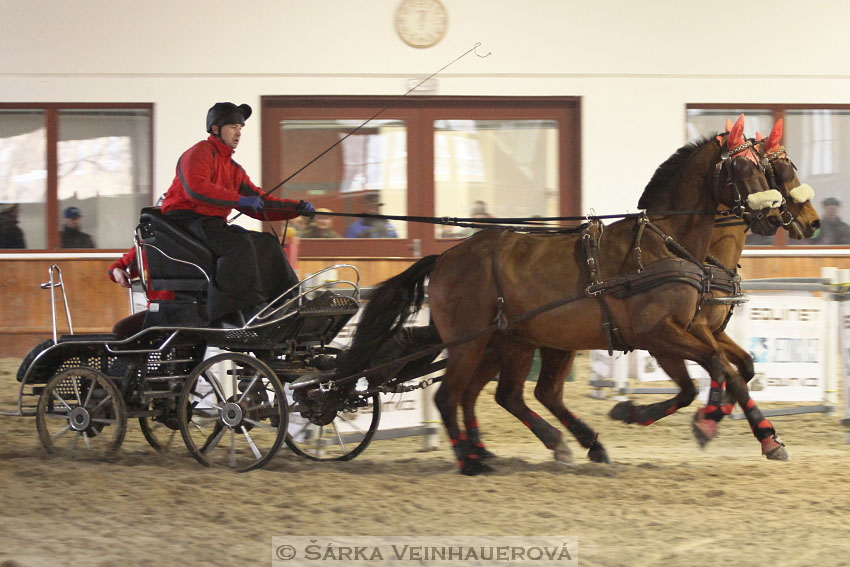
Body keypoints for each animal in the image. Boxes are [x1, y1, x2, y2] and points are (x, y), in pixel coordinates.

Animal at [344, 115, 776, 474]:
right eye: (743, 166)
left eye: (766, 167)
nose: (773, 214)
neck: (664, 243)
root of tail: (448, 255)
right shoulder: (659, 334)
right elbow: (715, 369)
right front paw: (706, 421)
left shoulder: (684, 332)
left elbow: (724, 371)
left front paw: (757, 433)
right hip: (472, 342)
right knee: (453, 397)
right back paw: (471, 459)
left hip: (521, 341)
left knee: (515, 394)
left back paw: (560, 444)